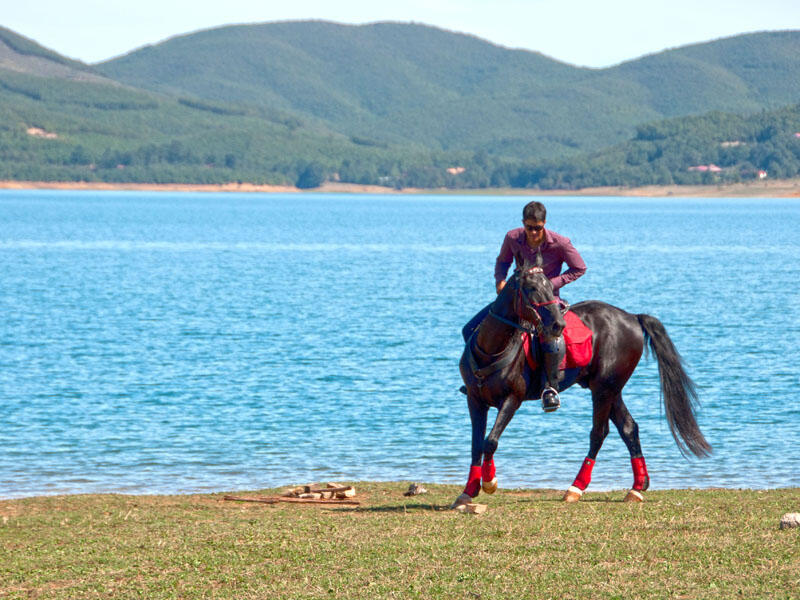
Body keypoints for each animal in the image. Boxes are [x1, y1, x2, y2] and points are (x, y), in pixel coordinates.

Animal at [454, 258, 708, 506]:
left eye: (550, 287)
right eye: (532, 288)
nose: (558, 325)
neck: (492, 350)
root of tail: (631, 317)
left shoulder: (512, 399)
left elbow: (490, 441)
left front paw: (489, 482)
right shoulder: (475, 400)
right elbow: (476, 443)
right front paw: (468, 491)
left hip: (604, 389)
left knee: (598, 433)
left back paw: (575, 488)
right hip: (611, 389)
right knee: (629, 428)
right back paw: (637, 488)